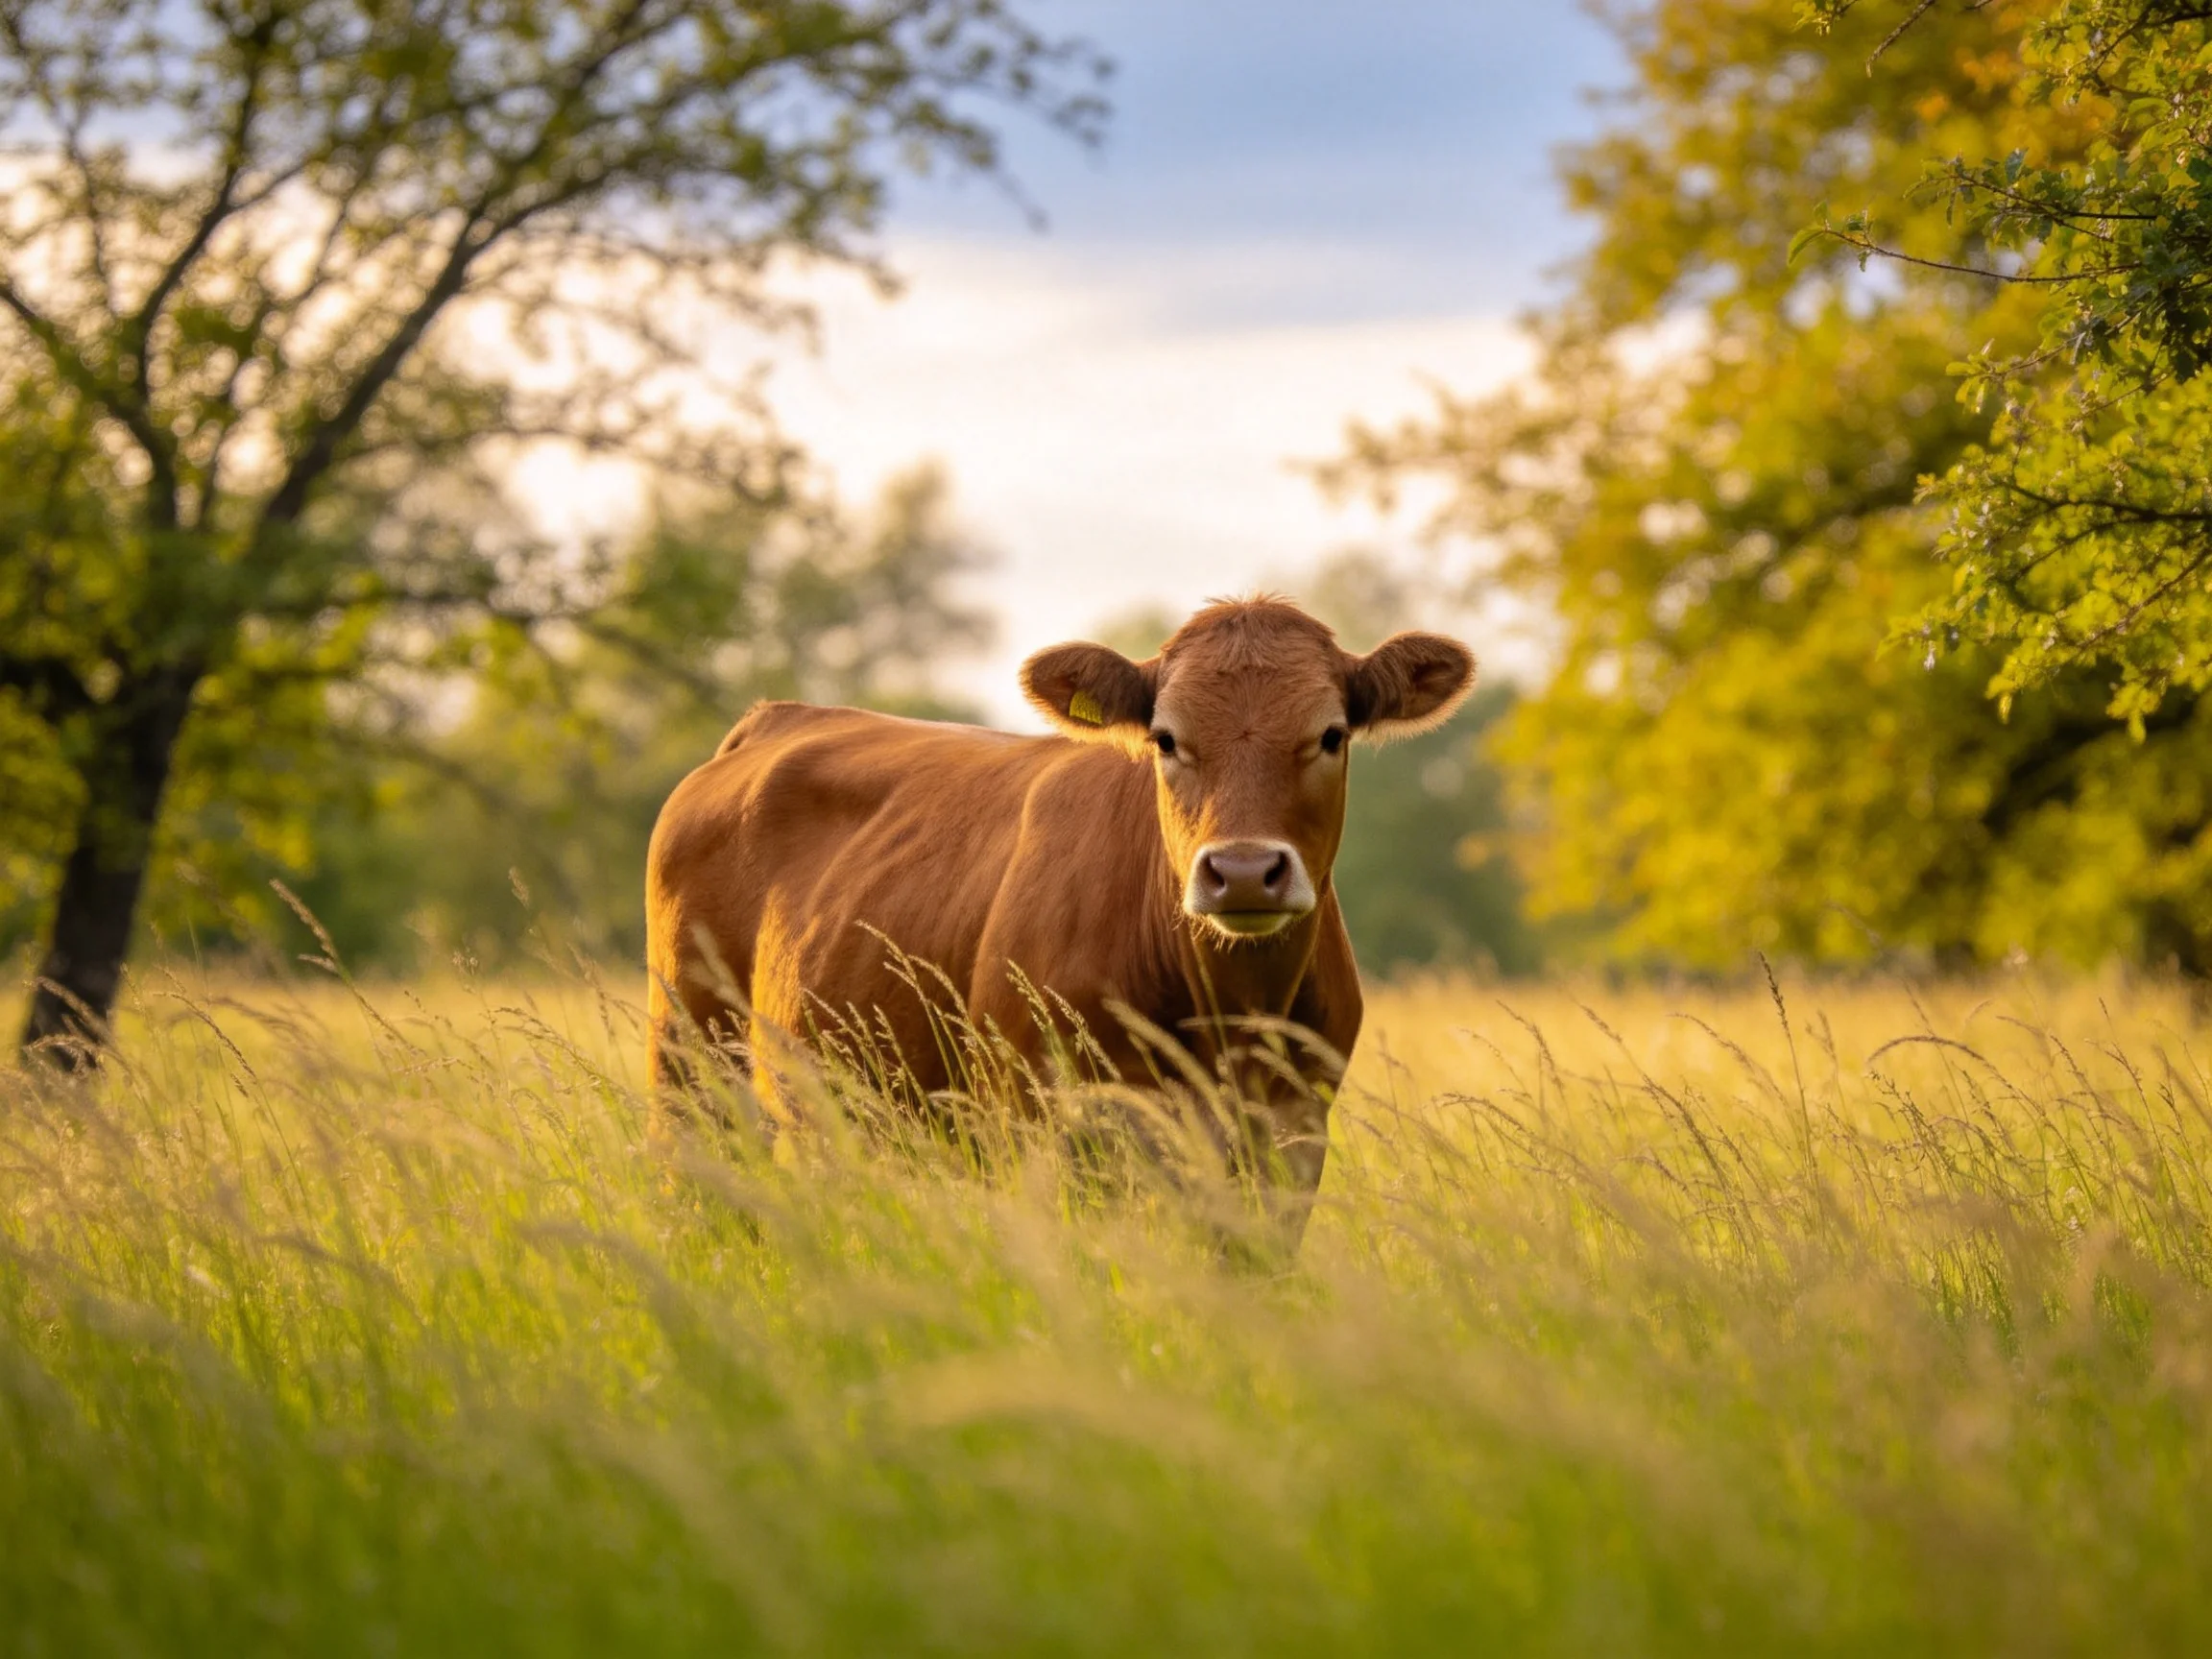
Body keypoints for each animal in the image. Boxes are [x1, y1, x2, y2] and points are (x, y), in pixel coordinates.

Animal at [645, 595, 1475, 1229]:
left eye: (1331, 735)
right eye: (1166, 739)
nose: (1243, 872)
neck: (1229, 1014)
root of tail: (778, 717)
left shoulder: (1291, 1138)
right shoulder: (1047, 1125)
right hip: (690, 1067)